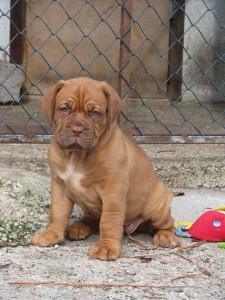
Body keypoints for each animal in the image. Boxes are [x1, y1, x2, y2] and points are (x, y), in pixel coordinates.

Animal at [30, 77, 180, 260]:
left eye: (95, 113)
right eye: (64, 109)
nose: (77, 129)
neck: (77, 155)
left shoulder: (113, 191)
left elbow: (109, 220)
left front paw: (106, 247)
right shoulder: (60, 186)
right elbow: (57, 213)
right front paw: (51, 235)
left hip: (157, 209)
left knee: (168, 222)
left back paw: (166, 236)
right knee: (92, 218)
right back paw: (79, 227)